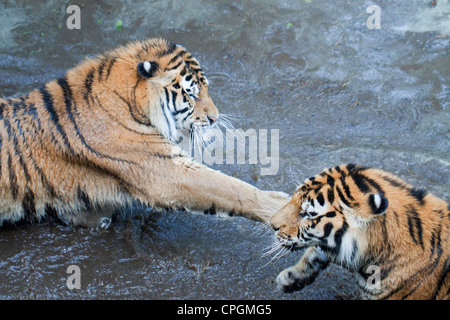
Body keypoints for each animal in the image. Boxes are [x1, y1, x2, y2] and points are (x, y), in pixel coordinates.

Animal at [0, 38, 288, 228]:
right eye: (192, 94)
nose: (215, 118)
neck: (131, 102)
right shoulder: (164, 170)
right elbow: (230, 188)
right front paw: (281, 206)